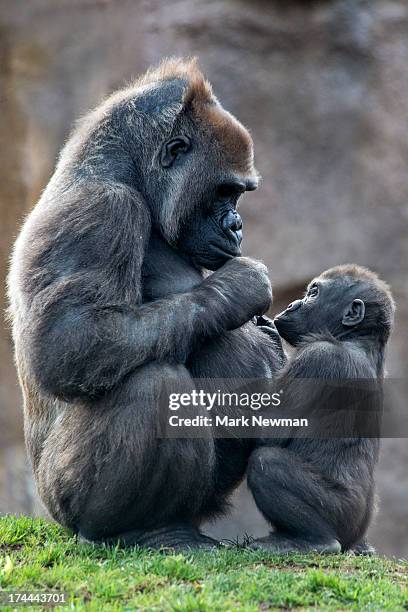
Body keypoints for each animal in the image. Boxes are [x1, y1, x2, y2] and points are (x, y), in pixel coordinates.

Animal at [9, 58, 284, 548]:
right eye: (225, 192)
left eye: (237, 194)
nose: (237, 226)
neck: (120, 171)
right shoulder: (102, 209)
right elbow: (67, 342)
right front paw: (237, 290)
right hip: (61, 503)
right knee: (154, 381)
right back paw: (148, 529)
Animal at [247, 264, 394, 556]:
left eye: (313, 293)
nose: (291, 304)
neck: (356, 338)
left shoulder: (318, 357)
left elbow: (269, 433)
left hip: (342, 513)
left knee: (266, 462)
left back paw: (316, 540)